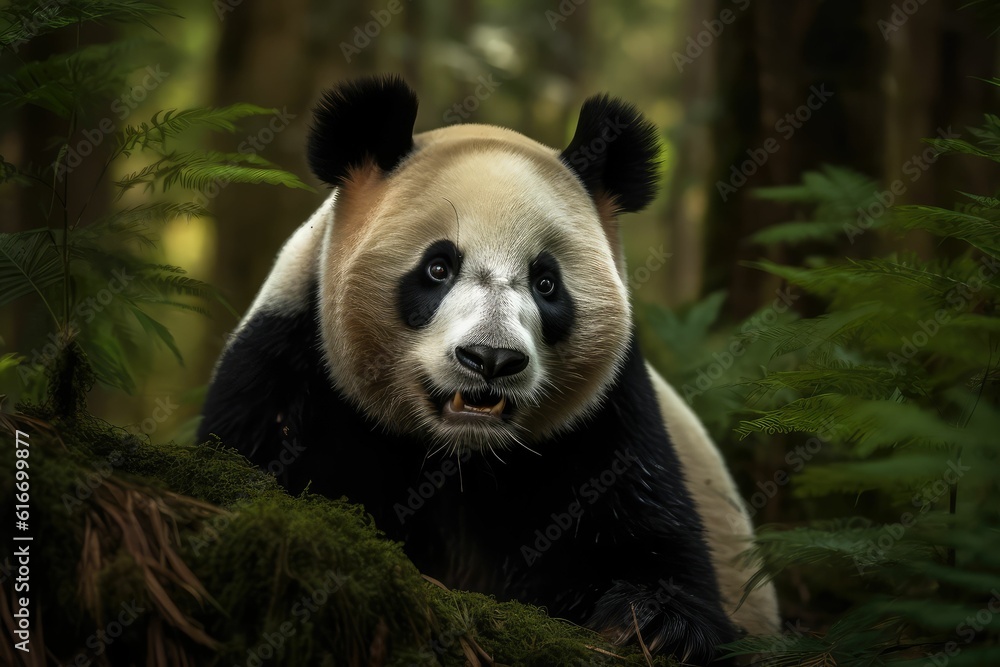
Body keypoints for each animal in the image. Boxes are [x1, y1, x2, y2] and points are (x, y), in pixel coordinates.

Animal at [199, 74, 779, 664]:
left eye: (546, 282)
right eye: (438, 267)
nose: (491, 360)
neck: (461, 454)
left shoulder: (607, 416)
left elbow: (652, 532)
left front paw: (654, 623)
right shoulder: (292, 370)